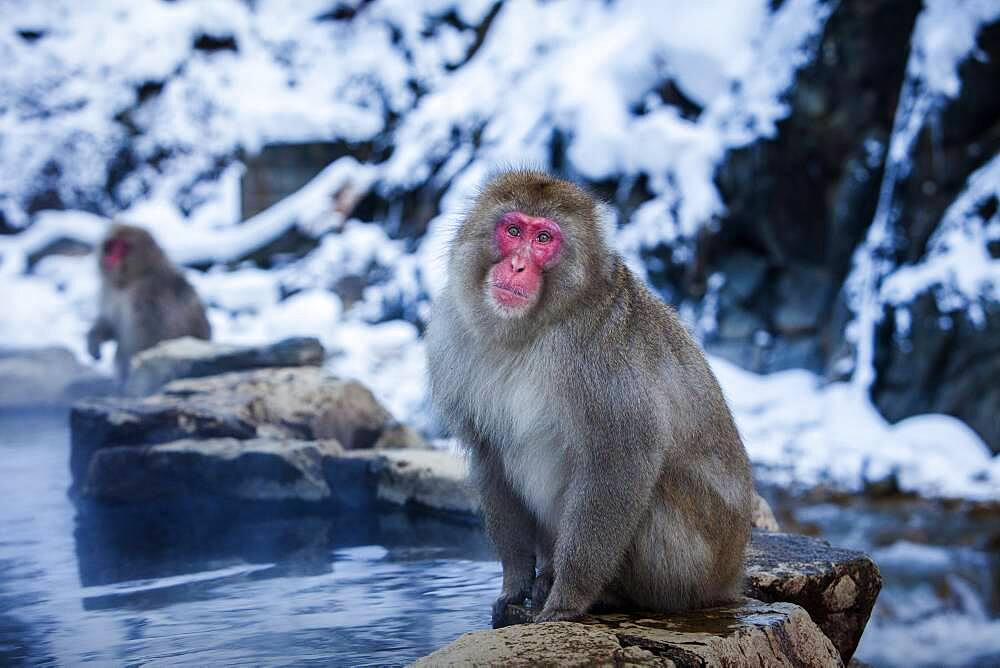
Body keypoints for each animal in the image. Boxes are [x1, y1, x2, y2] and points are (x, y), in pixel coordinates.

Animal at [86, 223, 211, 384]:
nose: (110, 256)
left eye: (123, 247)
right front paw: (93, 342)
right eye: (111, 245)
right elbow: (111, 324)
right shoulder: (110, 293)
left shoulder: (148, 295)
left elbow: (148, 338)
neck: (131, 280)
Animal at [426, 168, 752, 628]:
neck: (530, 330)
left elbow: (621, 458)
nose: (517, 264)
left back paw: (605, 593)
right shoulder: (453, 338)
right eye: (513, 231)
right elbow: (490, 457)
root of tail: (730, 575)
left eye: (544, 238)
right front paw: (515, 584)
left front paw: (567, 600)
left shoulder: (595, 355)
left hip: (691, 564)